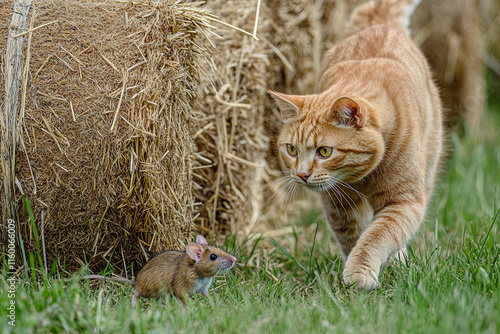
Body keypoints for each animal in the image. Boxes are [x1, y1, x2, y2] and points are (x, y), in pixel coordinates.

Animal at [268, 0, 444, 288]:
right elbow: (353, 236)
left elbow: (377, 236)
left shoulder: (403, 202)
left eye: (324, 151)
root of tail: (378, 22)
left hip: (427, 172)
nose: (301, 174)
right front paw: (352, 270)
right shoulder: (339, 205)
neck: (363, 177)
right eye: (291, 150)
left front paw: (360, 271)